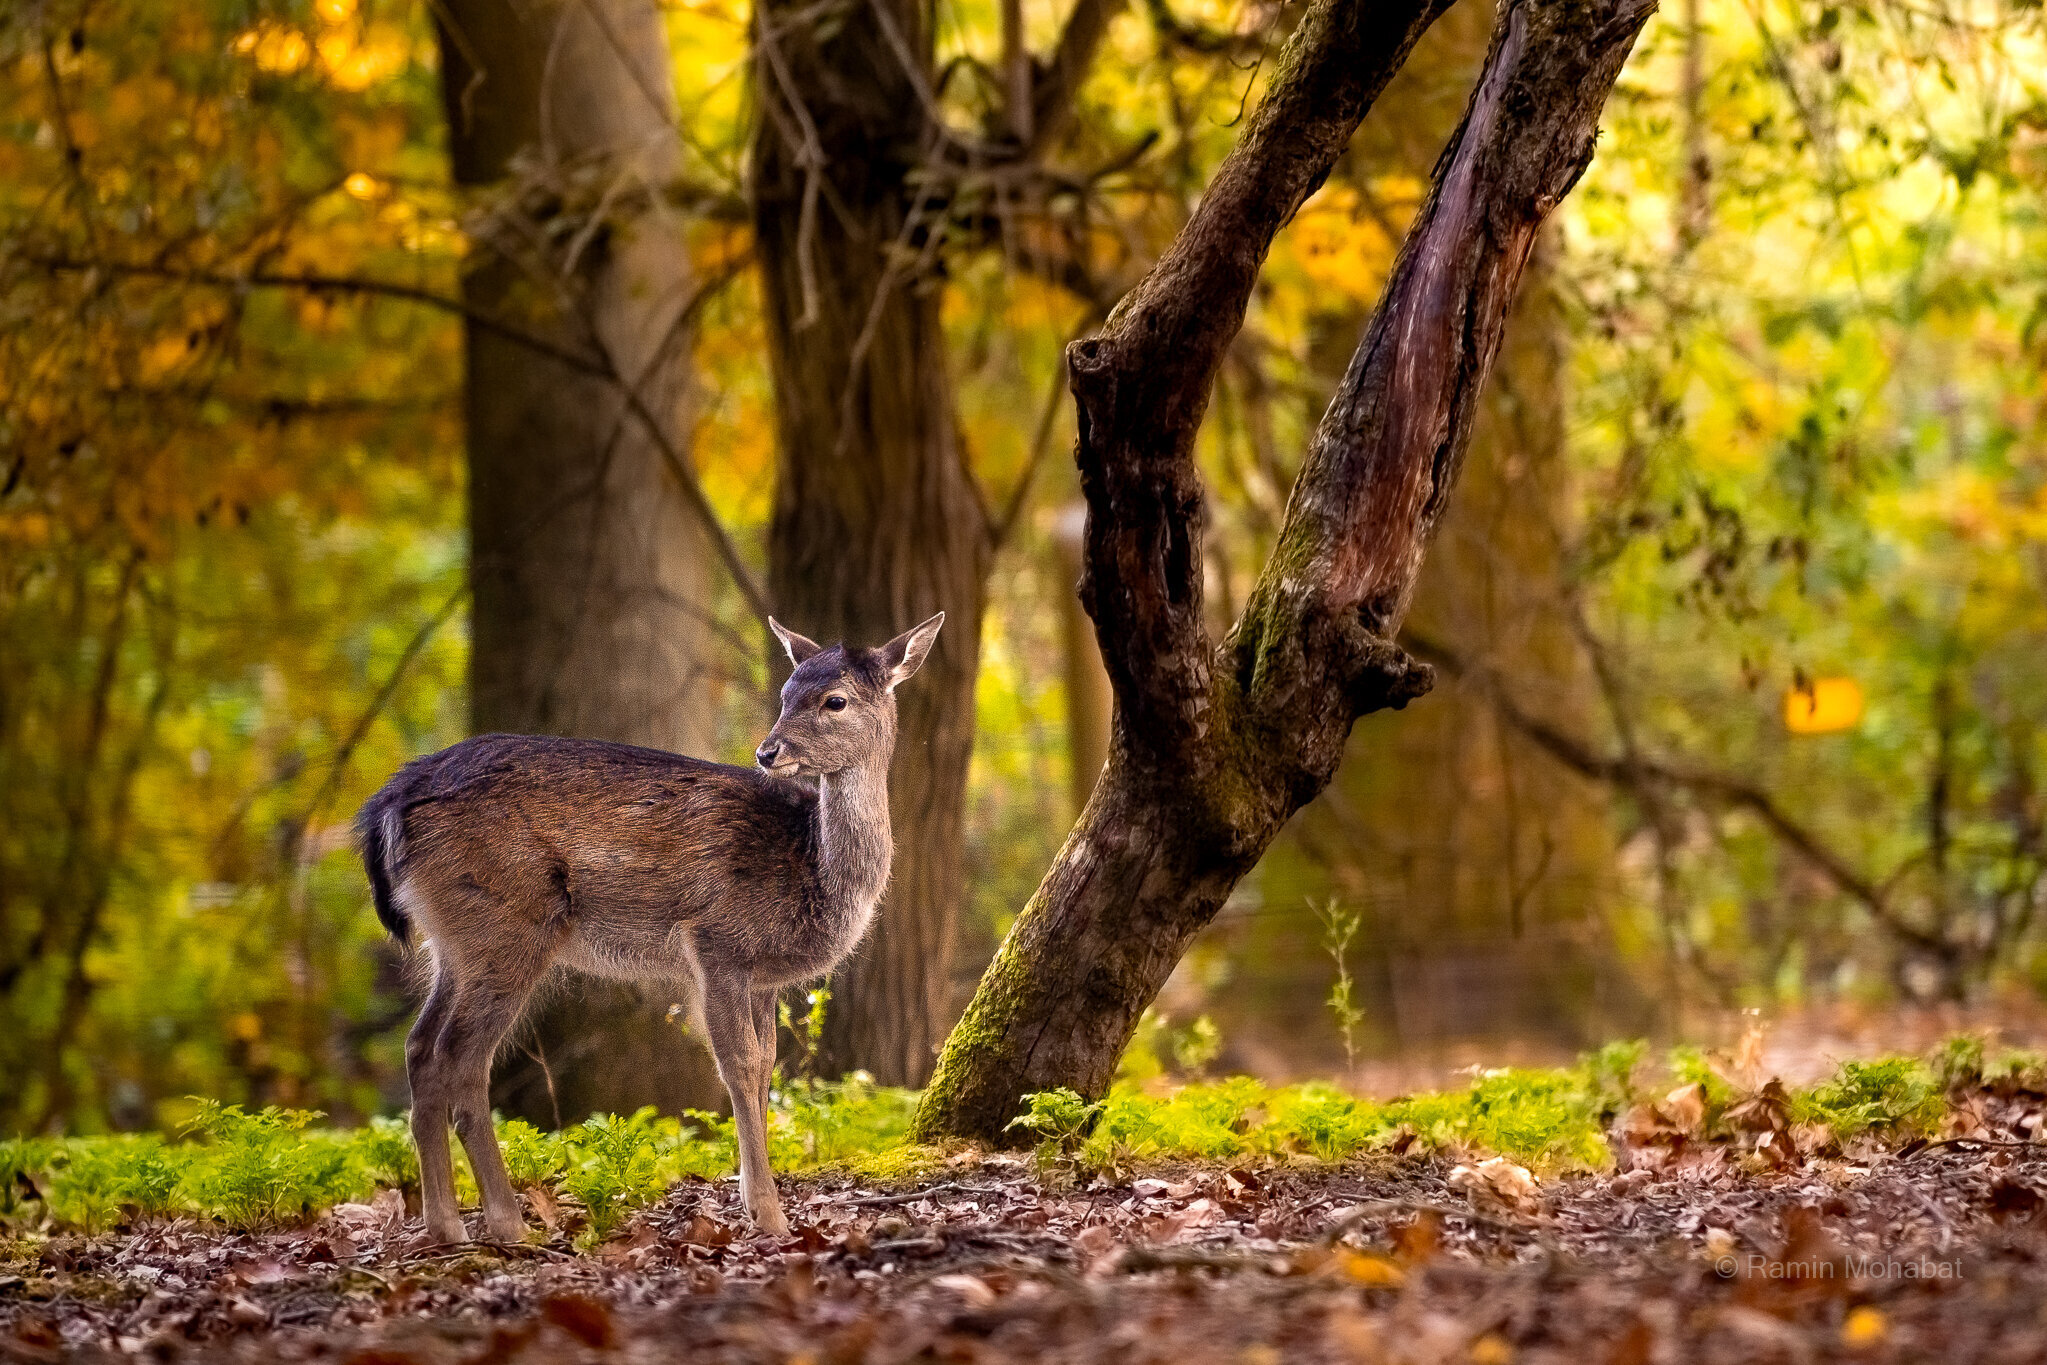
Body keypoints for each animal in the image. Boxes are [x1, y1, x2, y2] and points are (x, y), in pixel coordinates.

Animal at [356, 613, 945, 1244]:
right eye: (786, 693)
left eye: (834, 699)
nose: (768, 751)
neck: (812, 873)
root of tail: (385, 805)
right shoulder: (718, 943)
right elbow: (738, 1068)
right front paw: (769, 1213)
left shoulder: (761, 978)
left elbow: (766, 1067)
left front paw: (753, 1197)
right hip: (508, 926)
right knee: (462, 1056)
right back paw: (508, 1223)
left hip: (453, 938)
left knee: (420, 1046)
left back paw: (445, 1224)